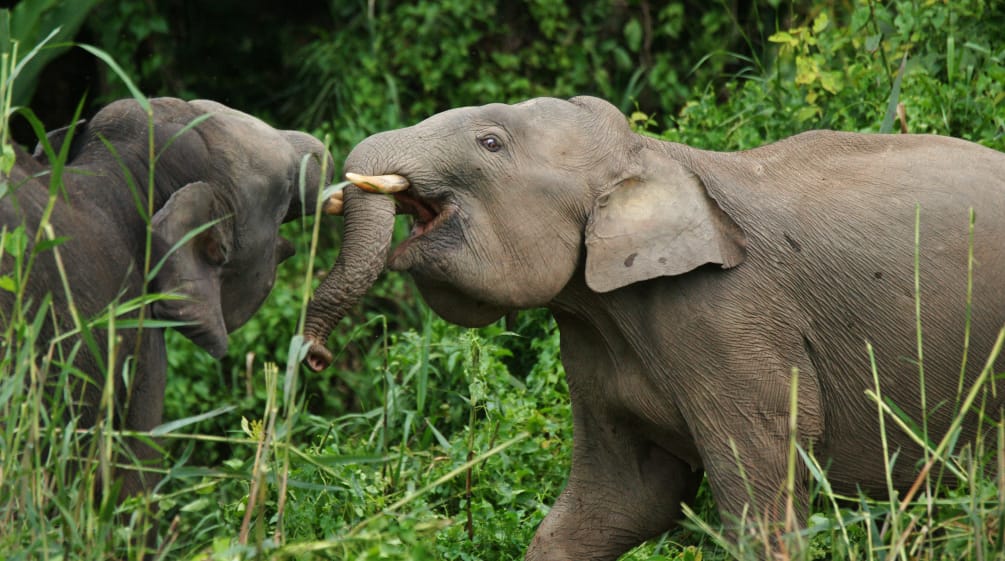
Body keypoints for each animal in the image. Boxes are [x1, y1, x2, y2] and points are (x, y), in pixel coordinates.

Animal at [301, 94, 1005, 558]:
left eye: (491, 143)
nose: (313, 357)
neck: (653, 155)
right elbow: (619, 500)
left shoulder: (730, 319)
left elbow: (761, 491)